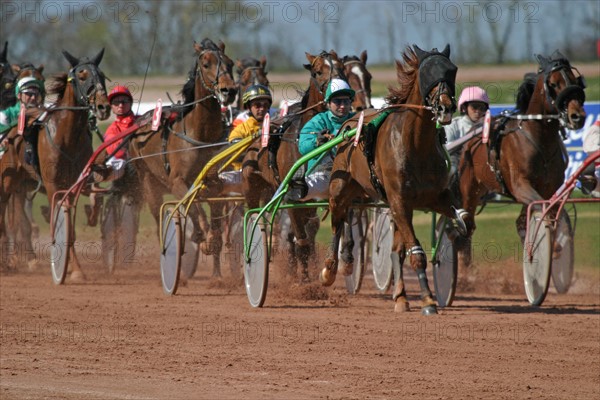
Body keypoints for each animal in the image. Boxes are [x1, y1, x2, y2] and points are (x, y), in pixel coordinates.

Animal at [129, 39, 237, 276]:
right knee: (158, 217)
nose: (229, 90)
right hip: (147, 181)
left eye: (230, 63)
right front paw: (203, 238)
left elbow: (215, 226)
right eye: (206, 64)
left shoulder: (215, 186)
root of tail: (140, 121)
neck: (201, 135)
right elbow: (195, 208)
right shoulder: (178, 182)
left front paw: (217, 275)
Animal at [241, 50, 346, 282]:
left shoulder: (313, 197)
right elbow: (302, 240)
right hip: (252, 186)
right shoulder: (292, 198)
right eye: (318, 71)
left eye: (342, 68)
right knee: (253, 217)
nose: (338, 93)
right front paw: (304, 281)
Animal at [324, 45, 464, 314]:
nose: (445, 107)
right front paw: (428, 300)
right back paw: (331, 268)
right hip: (340, 187)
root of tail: (349, 123)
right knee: (337, 220)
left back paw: (400, 296)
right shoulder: (399, 201)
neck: (415, 142)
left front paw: (456, 229)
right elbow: (416, 253)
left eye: (451, 70)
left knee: (394, 248)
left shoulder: (434, 197)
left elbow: (459, 215)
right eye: (428, 72)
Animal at [454, 49, 584, 268]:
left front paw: (553, 248)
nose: (578, 116)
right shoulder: (520, 185)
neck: (537, 139)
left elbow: (542, 214)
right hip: (468, 189)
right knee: (466, 226)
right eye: (554, 83)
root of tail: (471, 138)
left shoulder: (548, 188)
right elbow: (539, 210)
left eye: (575, 80)